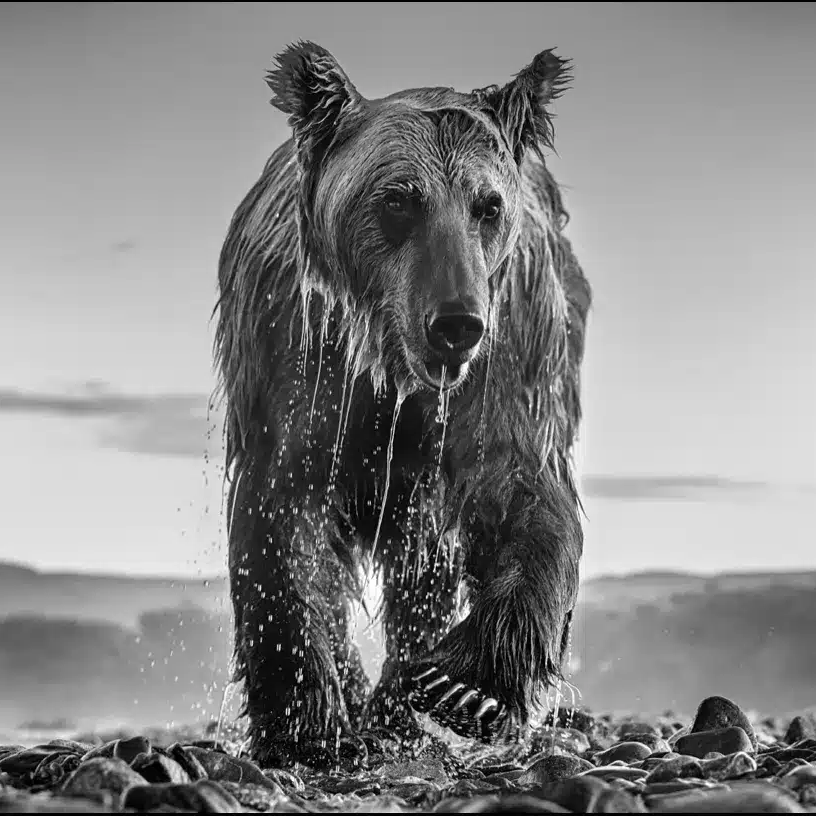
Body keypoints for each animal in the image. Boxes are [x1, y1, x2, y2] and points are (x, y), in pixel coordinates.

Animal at [214, 41, 592, 768]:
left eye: (487, 206)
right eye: (398, 201)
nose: (455, 322)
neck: (395, 369)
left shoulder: (509, 358)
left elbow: (524, 494)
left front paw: (466, 689)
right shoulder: (301, 356)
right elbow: (283, 518)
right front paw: (308, 719)